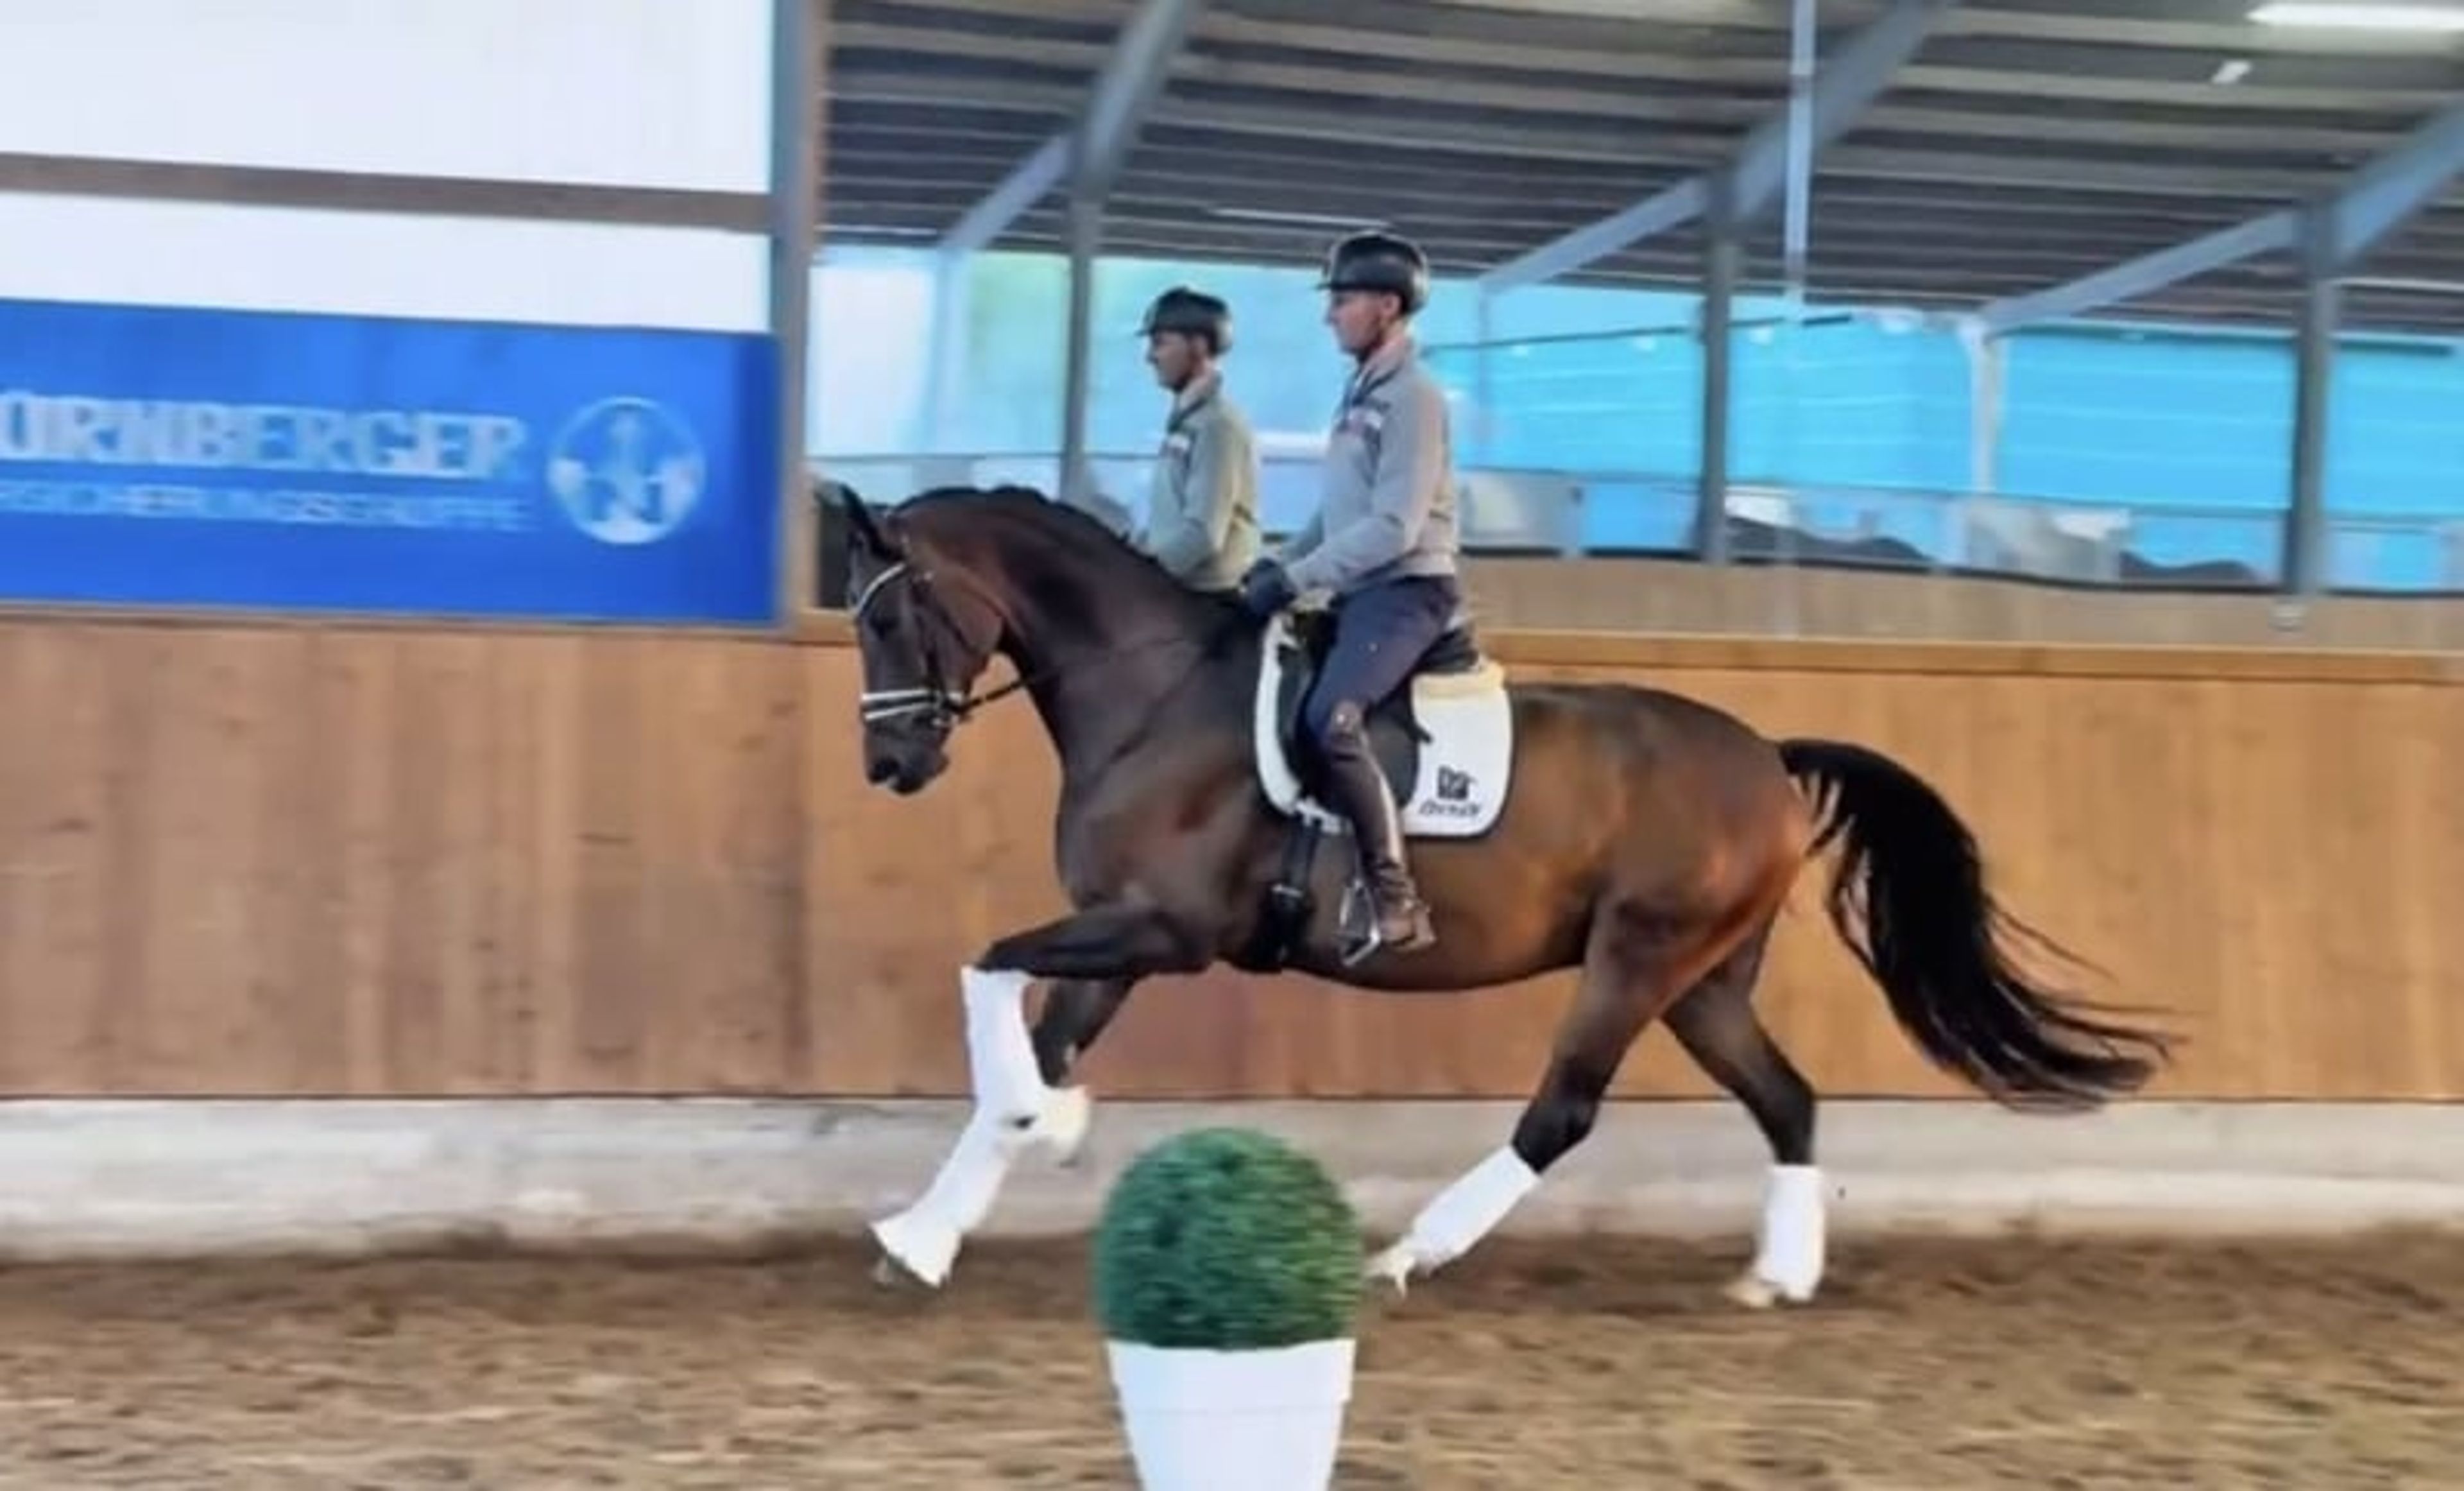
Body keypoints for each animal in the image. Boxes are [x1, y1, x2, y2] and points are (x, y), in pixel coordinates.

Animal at [837, 482, 2175, 1306]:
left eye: (893, 615)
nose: (891, 765)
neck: (1155, 695)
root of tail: (1766, 756)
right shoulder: (1121, 936)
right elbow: (1029, 1038)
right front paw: (927, 1231)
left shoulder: (1164, 929)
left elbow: (985, 968)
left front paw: (1044, 1125)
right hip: (1703, 981)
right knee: (1786, 1098)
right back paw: (1777, 1276)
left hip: (1638, 959)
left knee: (1564, 1113)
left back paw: (1406, 1256)